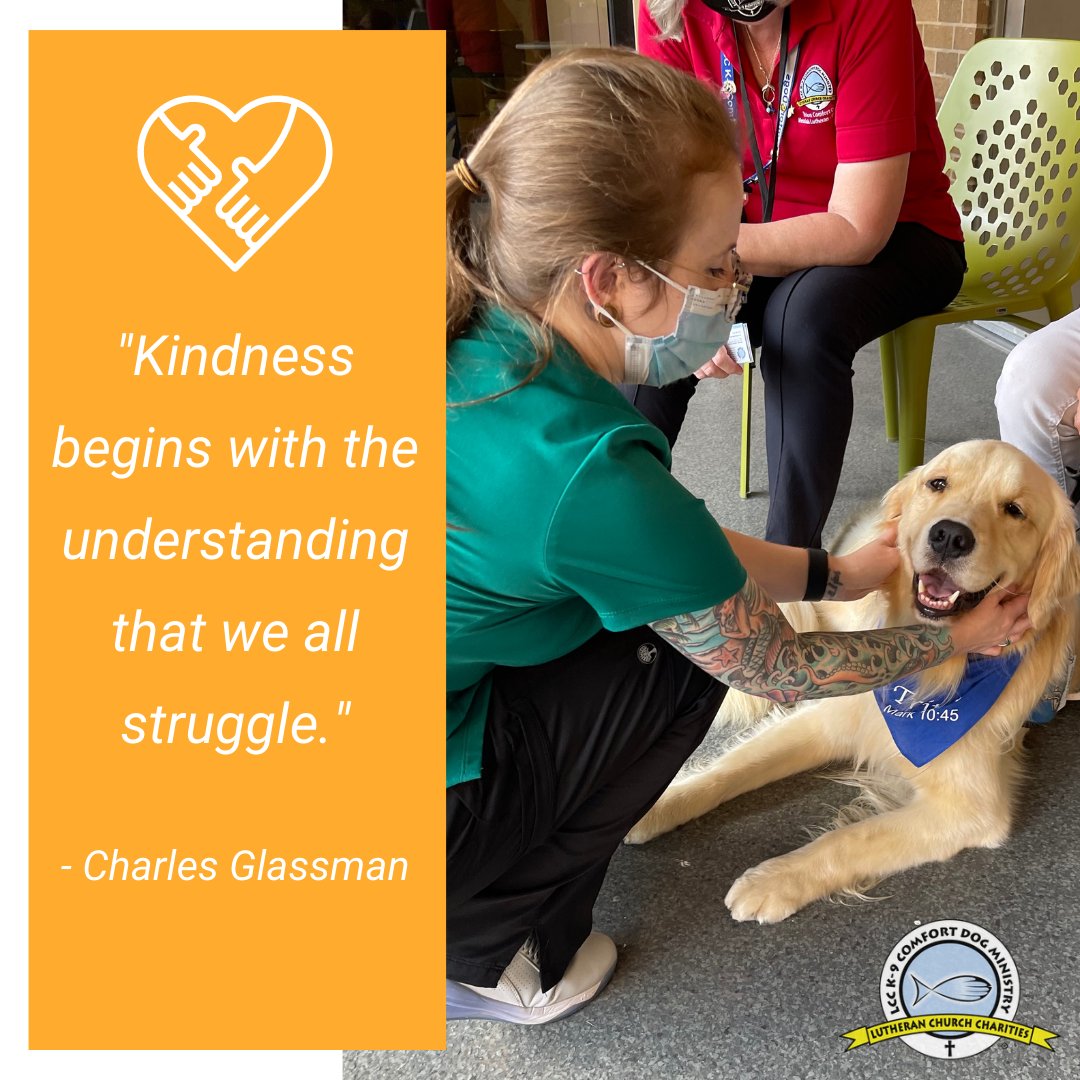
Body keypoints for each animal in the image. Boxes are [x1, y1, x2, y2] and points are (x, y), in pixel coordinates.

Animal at [626, 440, 1080, 923]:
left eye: (1015, 510)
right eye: (938, 483)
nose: (949, 536)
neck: (931, 677)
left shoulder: (973, 808)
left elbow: (851, 838)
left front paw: (773, 880)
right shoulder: (834, 713)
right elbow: (731, 768)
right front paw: (660, 803)